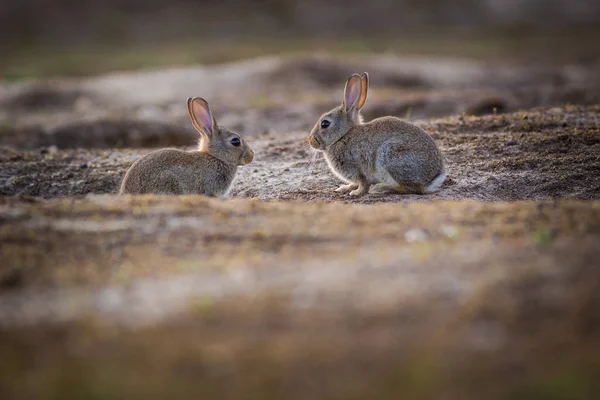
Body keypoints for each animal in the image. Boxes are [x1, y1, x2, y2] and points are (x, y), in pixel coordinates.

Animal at [310, 73, 446, 197]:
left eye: (325, 123)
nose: (311, 141)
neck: (343, 136)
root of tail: (433, 178)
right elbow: (354, 183)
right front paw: (344, 188)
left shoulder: (359, 169)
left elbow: (363, 183)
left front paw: (356, 193)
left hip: (390, 155)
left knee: (413, 188)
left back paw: (381, 188)